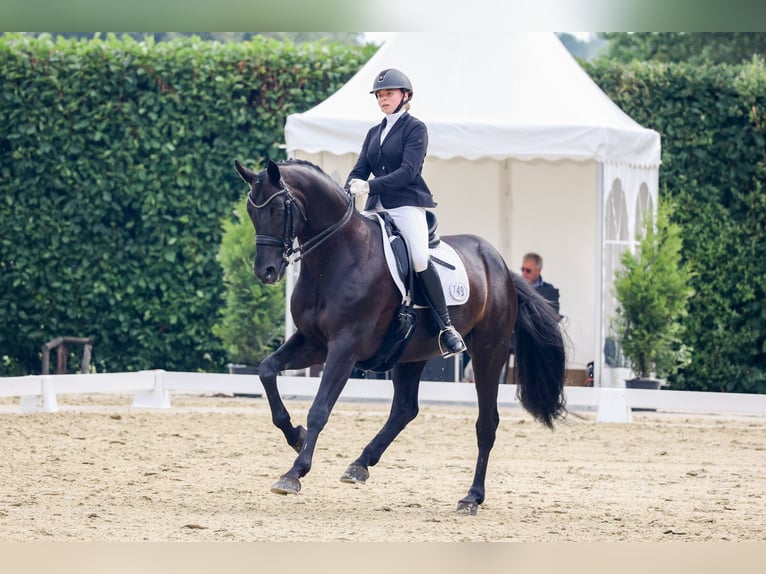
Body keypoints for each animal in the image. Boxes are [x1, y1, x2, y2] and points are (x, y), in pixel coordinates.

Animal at [237, 159, 568, 516]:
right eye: (251, 210)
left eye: (277, 208)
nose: (266, 272)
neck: (336, 257)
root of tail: (503, 267)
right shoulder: (313, 342)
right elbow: (267, 370)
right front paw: (295, 435)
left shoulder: (344, 347)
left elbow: (320, 408)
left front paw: (294, 472)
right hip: (412, 353)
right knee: (405, 409)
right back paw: (360, 465)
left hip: (488, 352)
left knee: (486, 423)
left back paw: (471, 497)